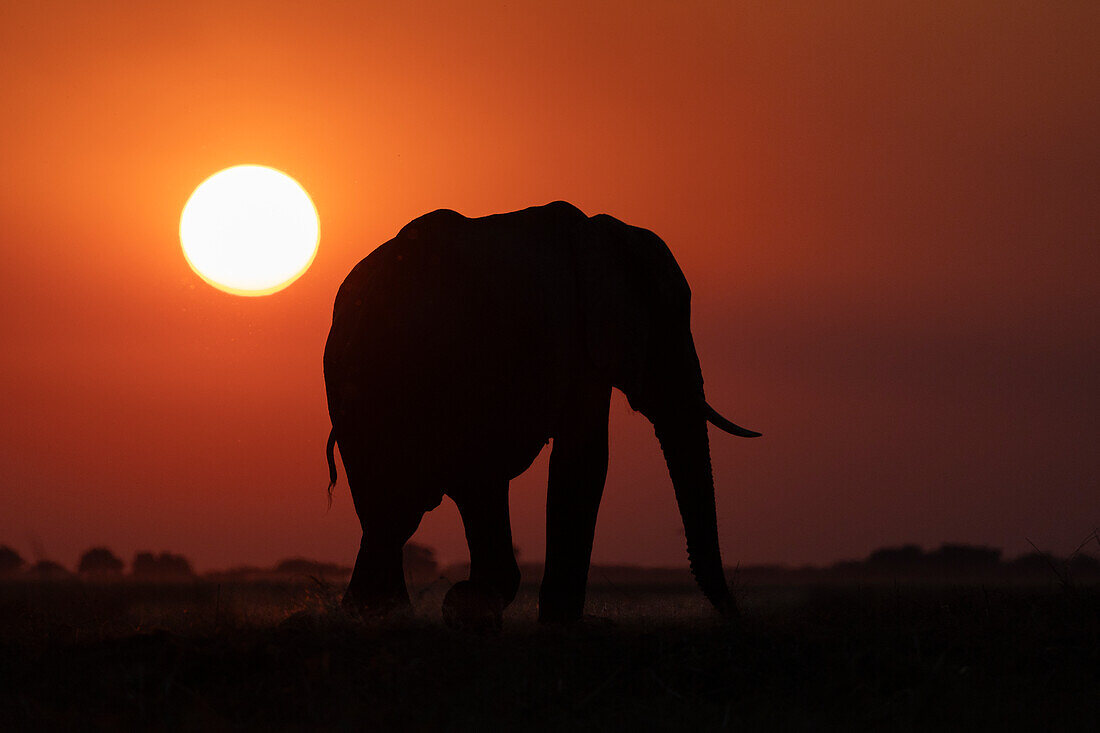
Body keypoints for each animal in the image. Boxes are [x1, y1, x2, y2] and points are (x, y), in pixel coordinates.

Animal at [321, 201, 761, 629]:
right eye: (665, 328)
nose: (736, 617)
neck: (604, 229)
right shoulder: (580, 342)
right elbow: (584, 459)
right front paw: (567, 625)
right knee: (431, 494)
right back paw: (423, 609)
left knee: (408, 500)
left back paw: (392, 613)